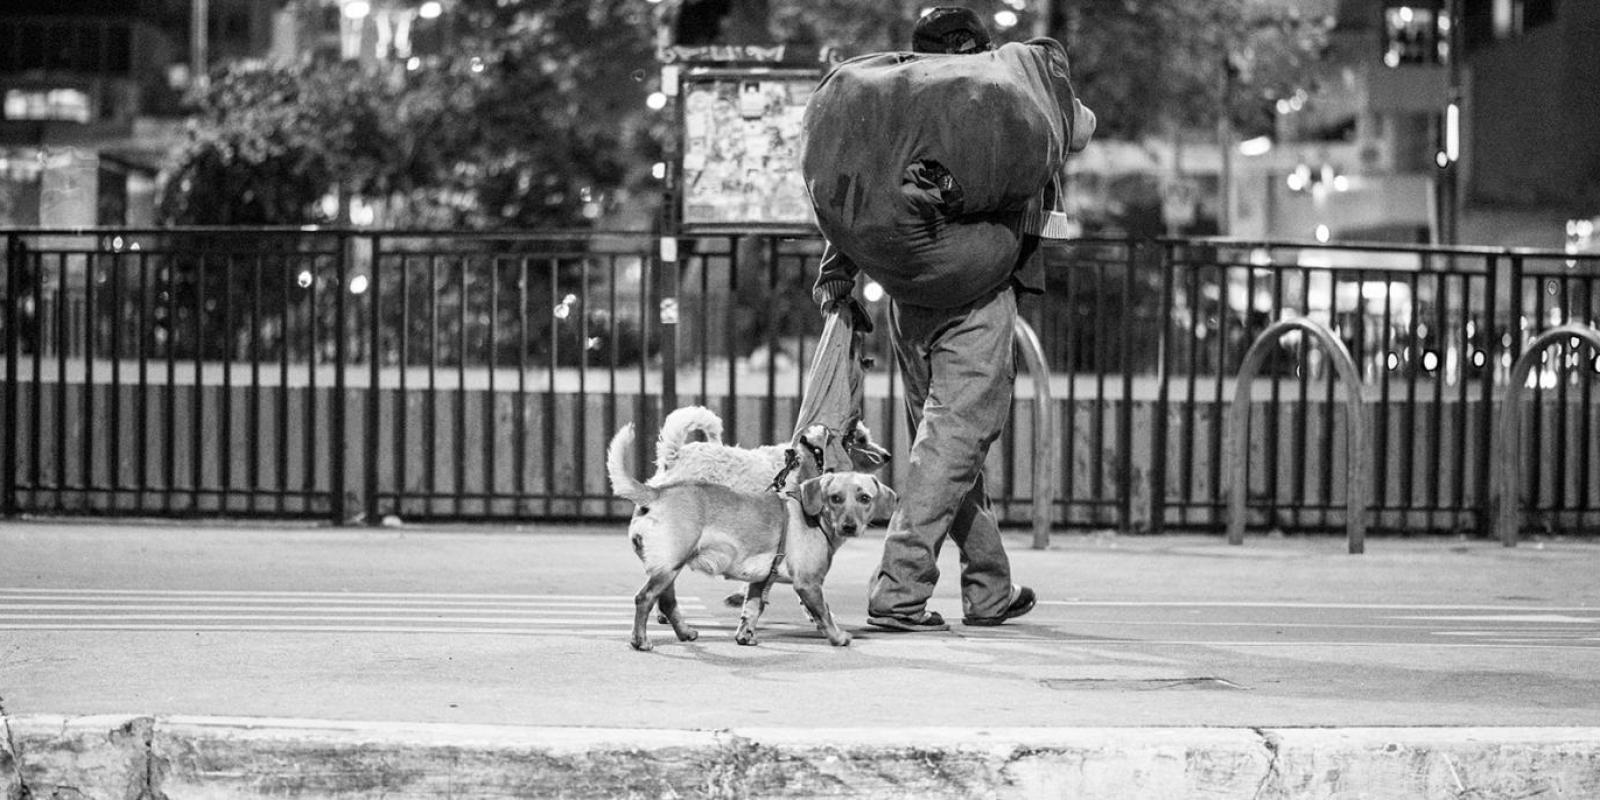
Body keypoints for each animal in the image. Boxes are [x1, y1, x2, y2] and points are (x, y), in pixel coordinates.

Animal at [604, 425, 896, 649]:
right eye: (835, 498)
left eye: (865, 498)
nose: (849, 526)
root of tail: (656, 493)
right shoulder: (808, 584)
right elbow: (823, 613)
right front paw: (837, 637)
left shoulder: (760, 580)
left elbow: (752, 609)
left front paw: (745, 635)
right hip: (668, 568)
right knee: (644, 599)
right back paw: (641, 641)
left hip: (669, 569)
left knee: (666, 602)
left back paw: (685, 632)